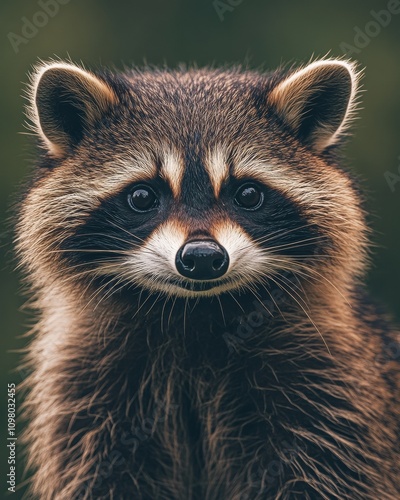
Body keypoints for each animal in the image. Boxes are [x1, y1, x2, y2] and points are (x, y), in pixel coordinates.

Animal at [15, 56, 400, 498]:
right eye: (143, 196)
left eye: (247, 194)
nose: (201, 258)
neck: (194, 313)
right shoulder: (85, 395)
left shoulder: (331, 392)